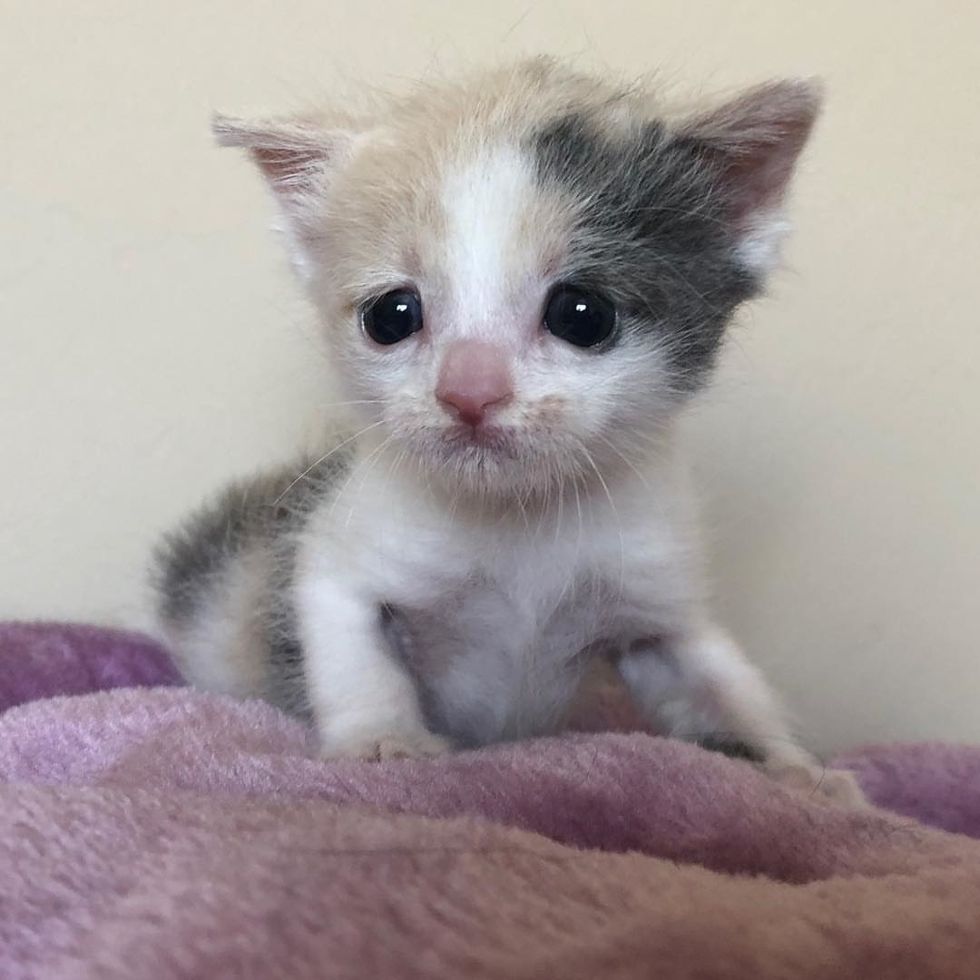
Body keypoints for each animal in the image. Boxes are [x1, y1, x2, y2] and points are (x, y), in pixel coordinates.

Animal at [155, 57, 864, 800]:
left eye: (583, 313)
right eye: (391, 315)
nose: (469, 391)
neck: (518, 519)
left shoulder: (657, 600)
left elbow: (723, 680)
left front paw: (797, 772)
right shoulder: (333, 555)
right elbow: (352, 650)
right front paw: (383, 743)